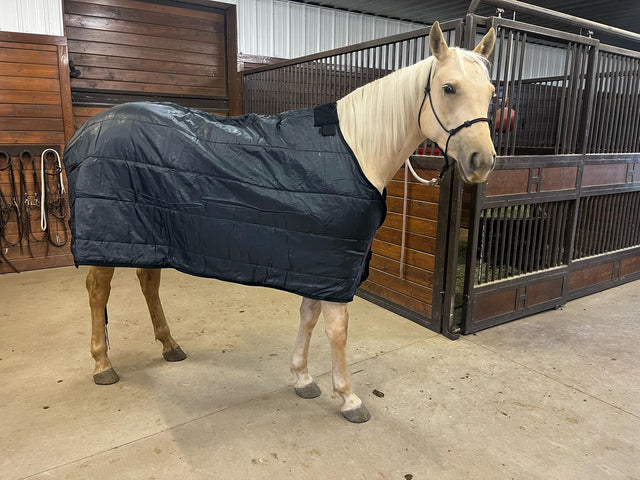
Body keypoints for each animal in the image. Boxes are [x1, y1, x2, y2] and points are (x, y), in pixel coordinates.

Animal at [75, 22, 496, 423]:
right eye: (448, 88)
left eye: (492, 91)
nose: (483, 161)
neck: (357, 149)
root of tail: (88, 129)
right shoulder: (335, 265)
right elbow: (337, 332)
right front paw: (348, 398)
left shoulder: (319, 263)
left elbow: (308, 318)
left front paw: (303, 378)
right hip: (108, 236)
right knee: (97, 290)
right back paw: (102, 365)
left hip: (150, 234)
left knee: (148, 281)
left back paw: (170, 346)